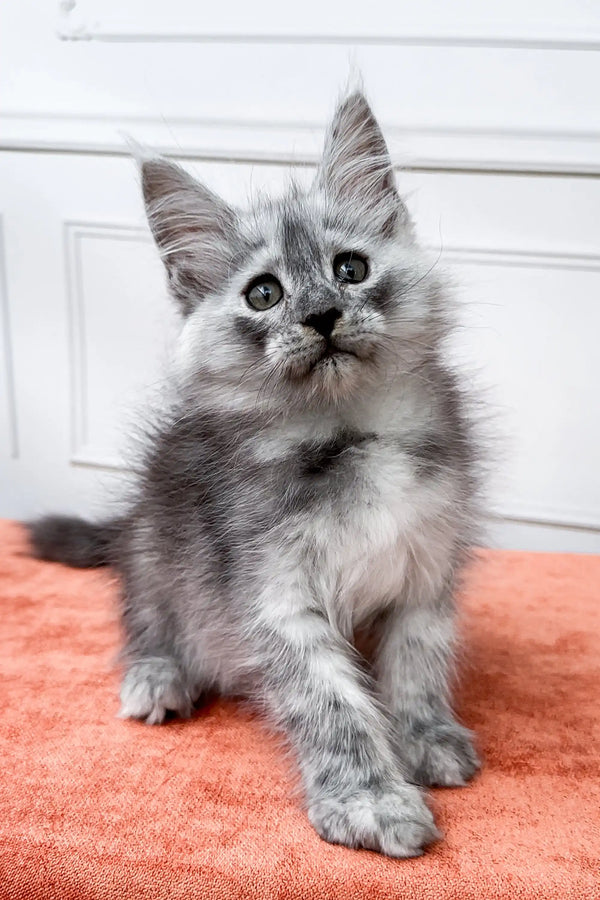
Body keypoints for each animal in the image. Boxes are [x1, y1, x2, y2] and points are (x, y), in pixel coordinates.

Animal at [29, 91, 482, 856]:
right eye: (264, 294)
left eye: (351, 269)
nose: (322, 314)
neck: (351, 433)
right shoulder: (273, 596)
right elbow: (331, 703)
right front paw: (369, 800)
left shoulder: (425, 572)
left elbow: (417, 664)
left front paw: (425, 737)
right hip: (156, 545)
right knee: (144, 619)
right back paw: (158, 676)